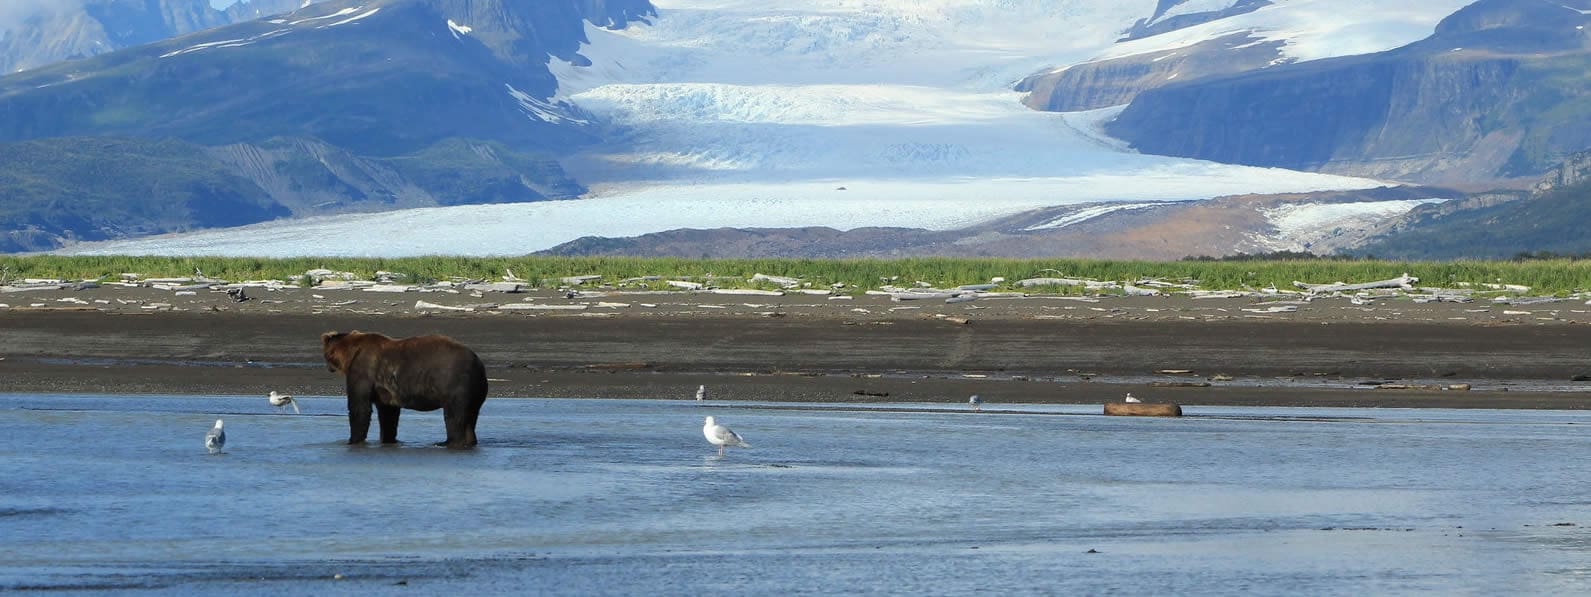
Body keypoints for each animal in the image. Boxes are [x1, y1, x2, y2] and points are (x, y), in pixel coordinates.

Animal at [321, 330, 489, 448]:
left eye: (325, 355)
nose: (328, 368)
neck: (351, 353)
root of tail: (479, 363)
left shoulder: (363, 371)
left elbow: (359, 408)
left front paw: (353, 440)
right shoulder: (385, 390)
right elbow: (388, 414)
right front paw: (388, 439)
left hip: (454, 382)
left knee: (454, 415)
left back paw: (447, 442)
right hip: (476, 390)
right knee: (471, 417)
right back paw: (469, 441)